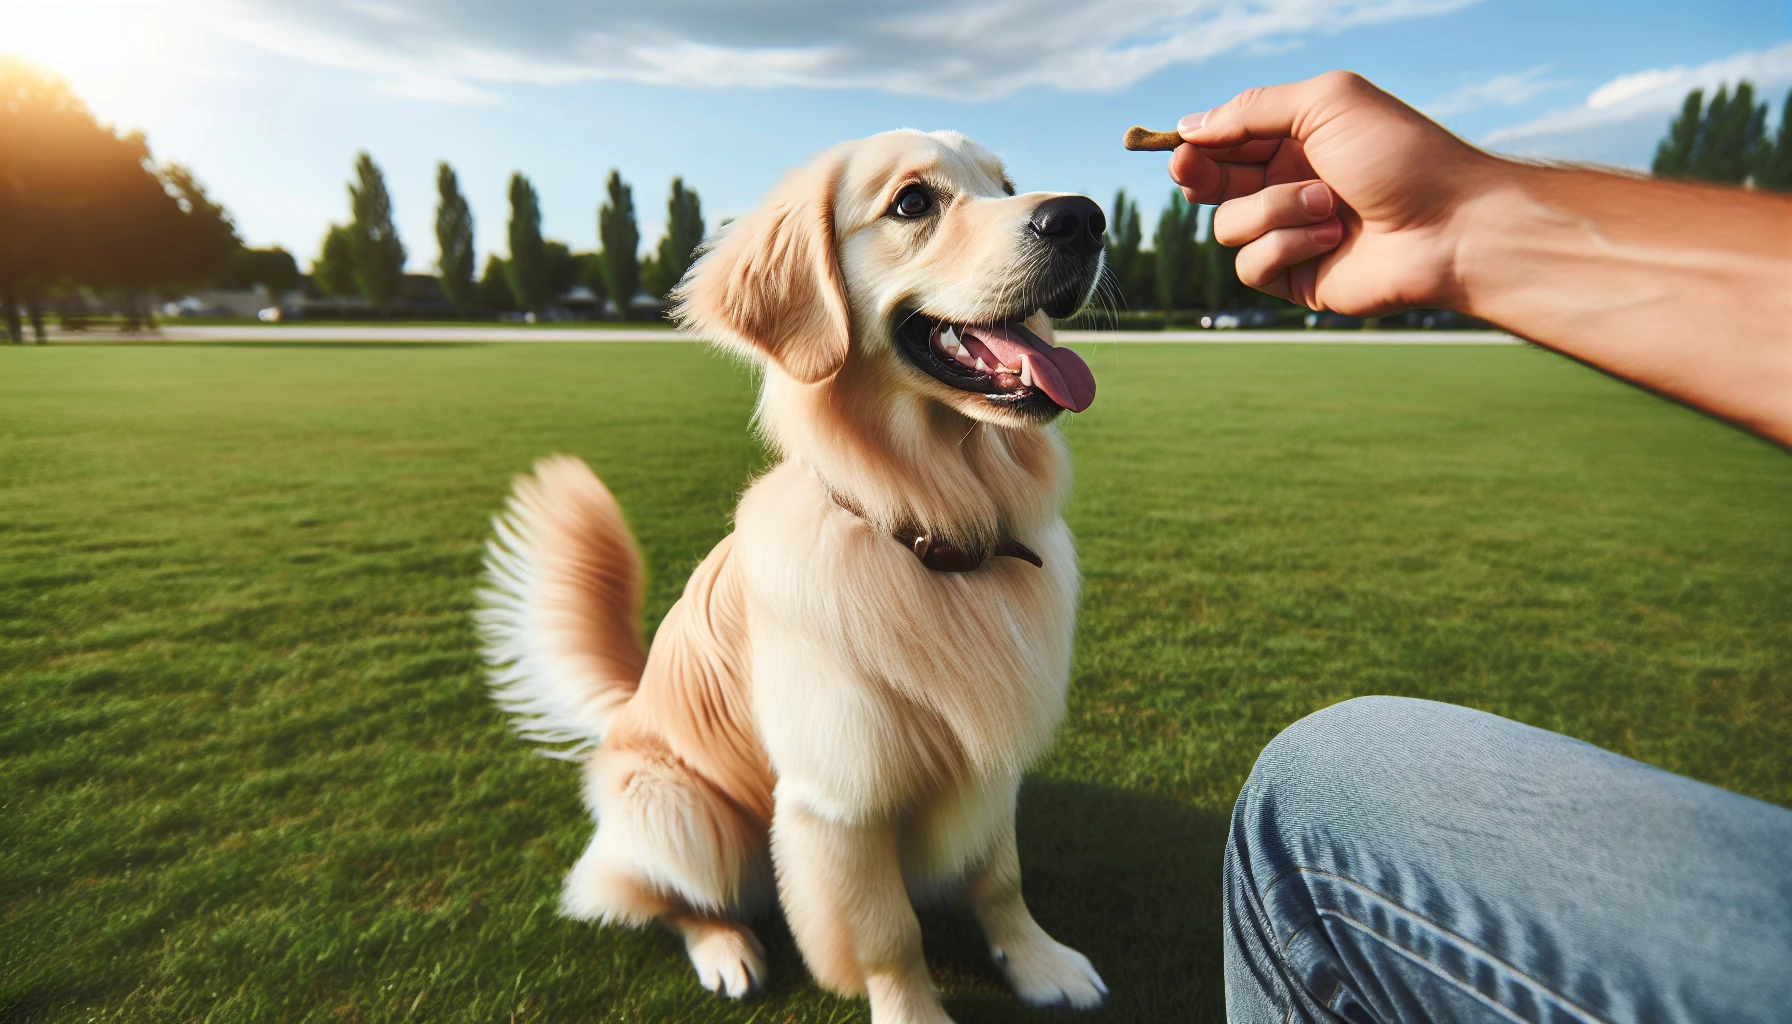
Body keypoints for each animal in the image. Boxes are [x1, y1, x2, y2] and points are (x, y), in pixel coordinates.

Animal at [483, 130, 1111, 1024]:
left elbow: (1000, 877)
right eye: (912, 202)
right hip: (680, 811)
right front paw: (914, 1010)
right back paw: (725, 950)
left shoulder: (990, 759)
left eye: (1005, 183)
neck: (930, 531)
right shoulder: (838, 799)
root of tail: (628, 708)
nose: (1085, 219)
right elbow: (889, 936)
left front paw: (1038, 963)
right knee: (667, 898)